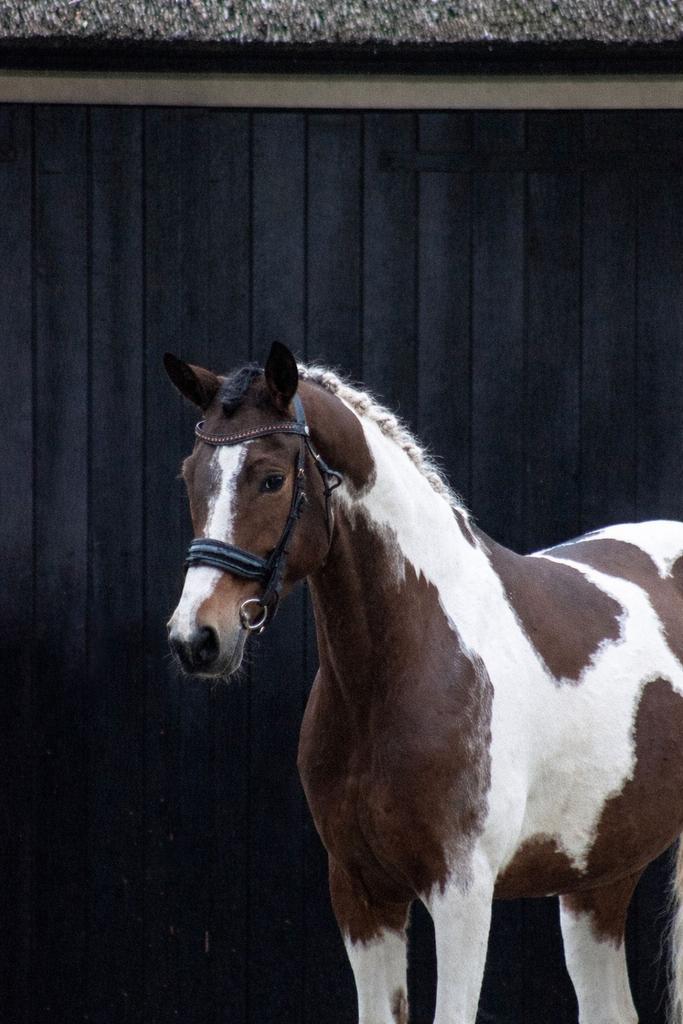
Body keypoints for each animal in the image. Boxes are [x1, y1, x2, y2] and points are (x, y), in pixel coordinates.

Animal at [165, 341, 683, 1024]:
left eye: (271, 478)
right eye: (189, 476)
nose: (196, 639)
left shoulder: (462, 896)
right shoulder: (360, 893)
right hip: (599, 876)